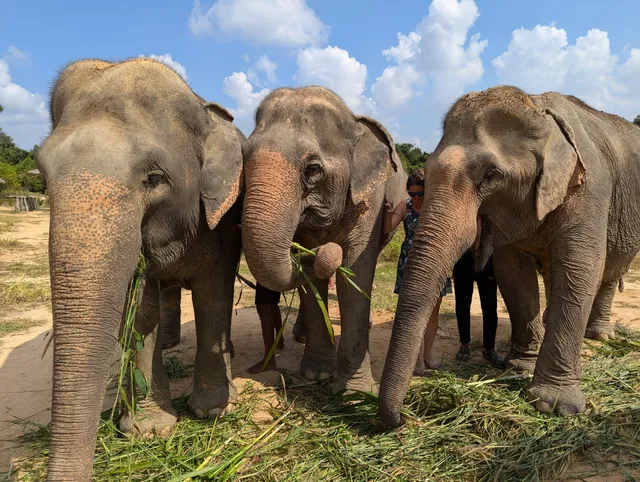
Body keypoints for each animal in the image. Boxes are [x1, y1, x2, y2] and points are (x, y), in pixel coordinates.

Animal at [36, 58, 244, 481]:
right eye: (43, 178)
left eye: (154, 179)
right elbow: (140, 308)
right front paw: (148, 431)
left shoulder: (221, 221)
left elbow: (214, 296)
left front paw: (213, 411)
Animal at [241, 86, 406, 393]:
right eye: (243, 158)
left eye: (313, 169)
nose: (322, 249)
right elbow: (311, 281)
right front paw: (316, 375)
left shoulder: (370, 200)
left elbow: (355, 271)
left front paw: (355, 391)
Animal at [378, 85, 640, 427]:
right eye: (428, 171)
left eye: (491, 175)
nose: (402, 419)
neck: (539, 108)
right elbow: (512, 273)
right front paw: (519, 368)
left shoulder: (590, 190)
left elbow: (580, 269)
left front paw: (555, 406)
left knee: (609, 271)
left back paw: (600, 335)